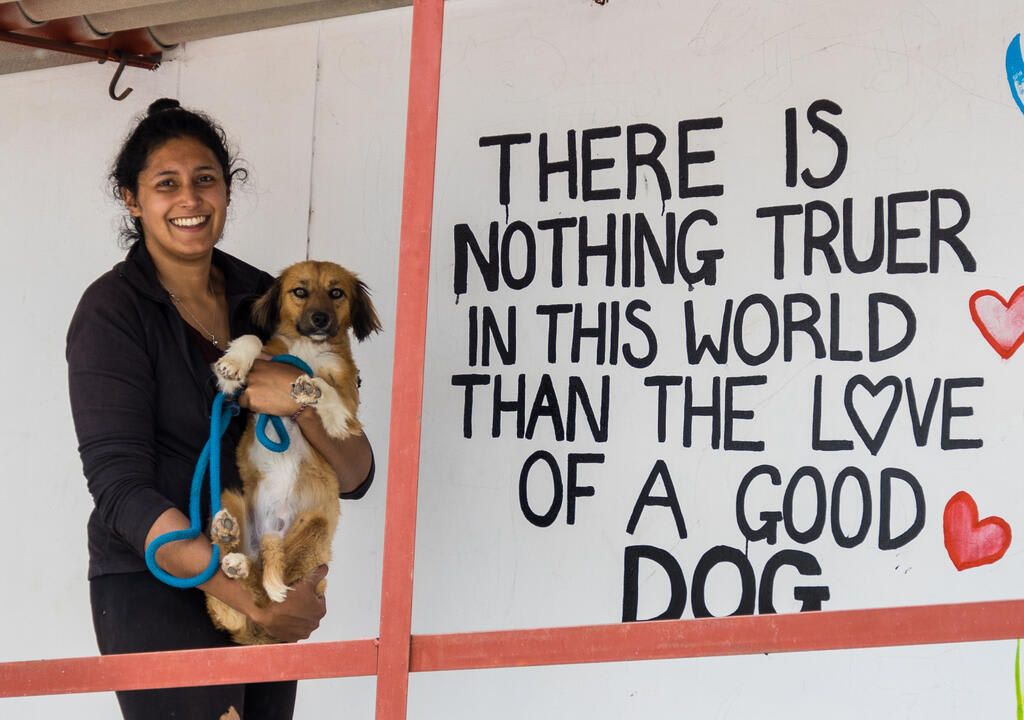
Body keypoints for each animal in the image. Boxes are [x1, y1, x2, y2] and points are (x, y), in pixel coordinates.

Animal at [203, 262, 380, 643]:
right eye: (300, 291)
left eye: (336, 293)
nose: (320, 319)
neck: (306, 348)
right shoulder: (263, 359)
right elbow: (253, 340)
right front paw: (233, 364)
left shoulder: (350, 395)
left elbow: (327, 386)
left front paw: (322, 402)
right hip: (230, 495)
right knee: (246, 590)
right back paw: (229, 541)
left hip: (313, 530)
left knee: (268, 591)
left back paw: (242, 563)